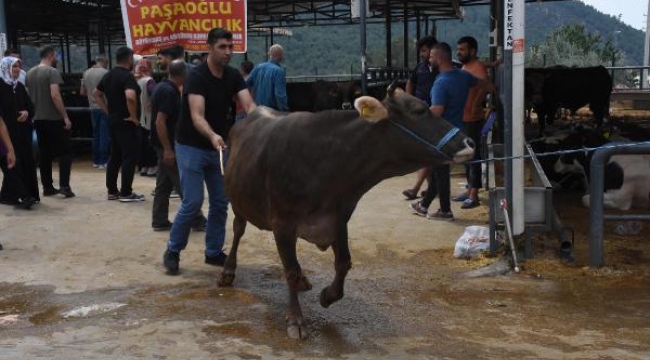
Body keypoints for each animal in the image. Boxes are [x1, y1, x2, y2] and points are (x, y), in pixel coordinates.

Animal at [218, 86, 470, 338]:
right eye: (419, 110)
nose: (468, 142)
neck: (329, 164)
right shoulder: (283, 224)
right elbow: (291, 271)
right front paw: (296, 320)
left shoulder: (338, 219)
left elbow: (343, 264)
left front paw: (327, 296)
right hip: (237, 200)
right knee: (238, 230)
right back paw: (228, 270)